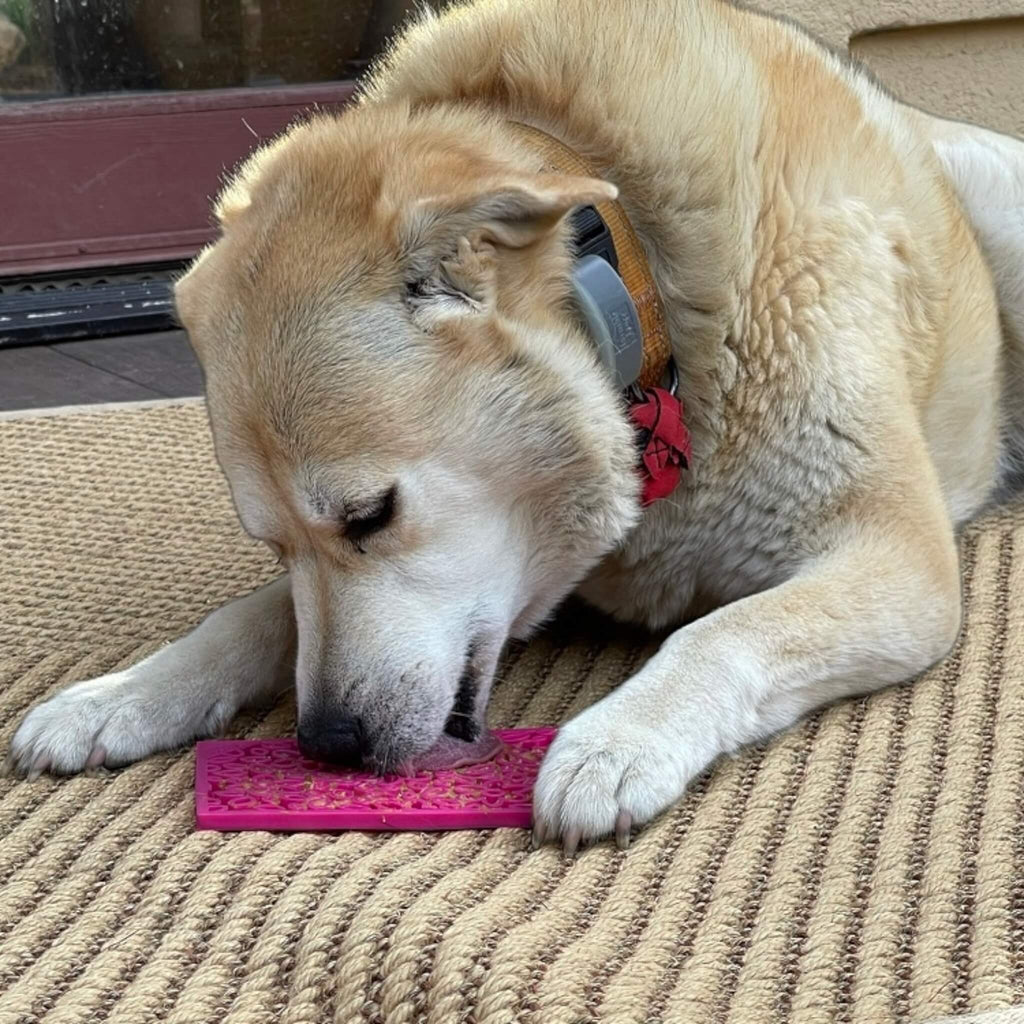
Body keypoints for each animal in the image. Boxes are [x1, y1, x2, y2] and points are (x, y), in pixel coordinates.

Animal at [9, 0, 1024, 856]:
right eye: (275, 545)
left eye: (372, 515)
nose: (328, 743)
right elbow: (252, 622)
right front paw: (123, 694)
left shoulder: (899, 558)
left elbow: (727, 630)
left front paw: (619, 739)